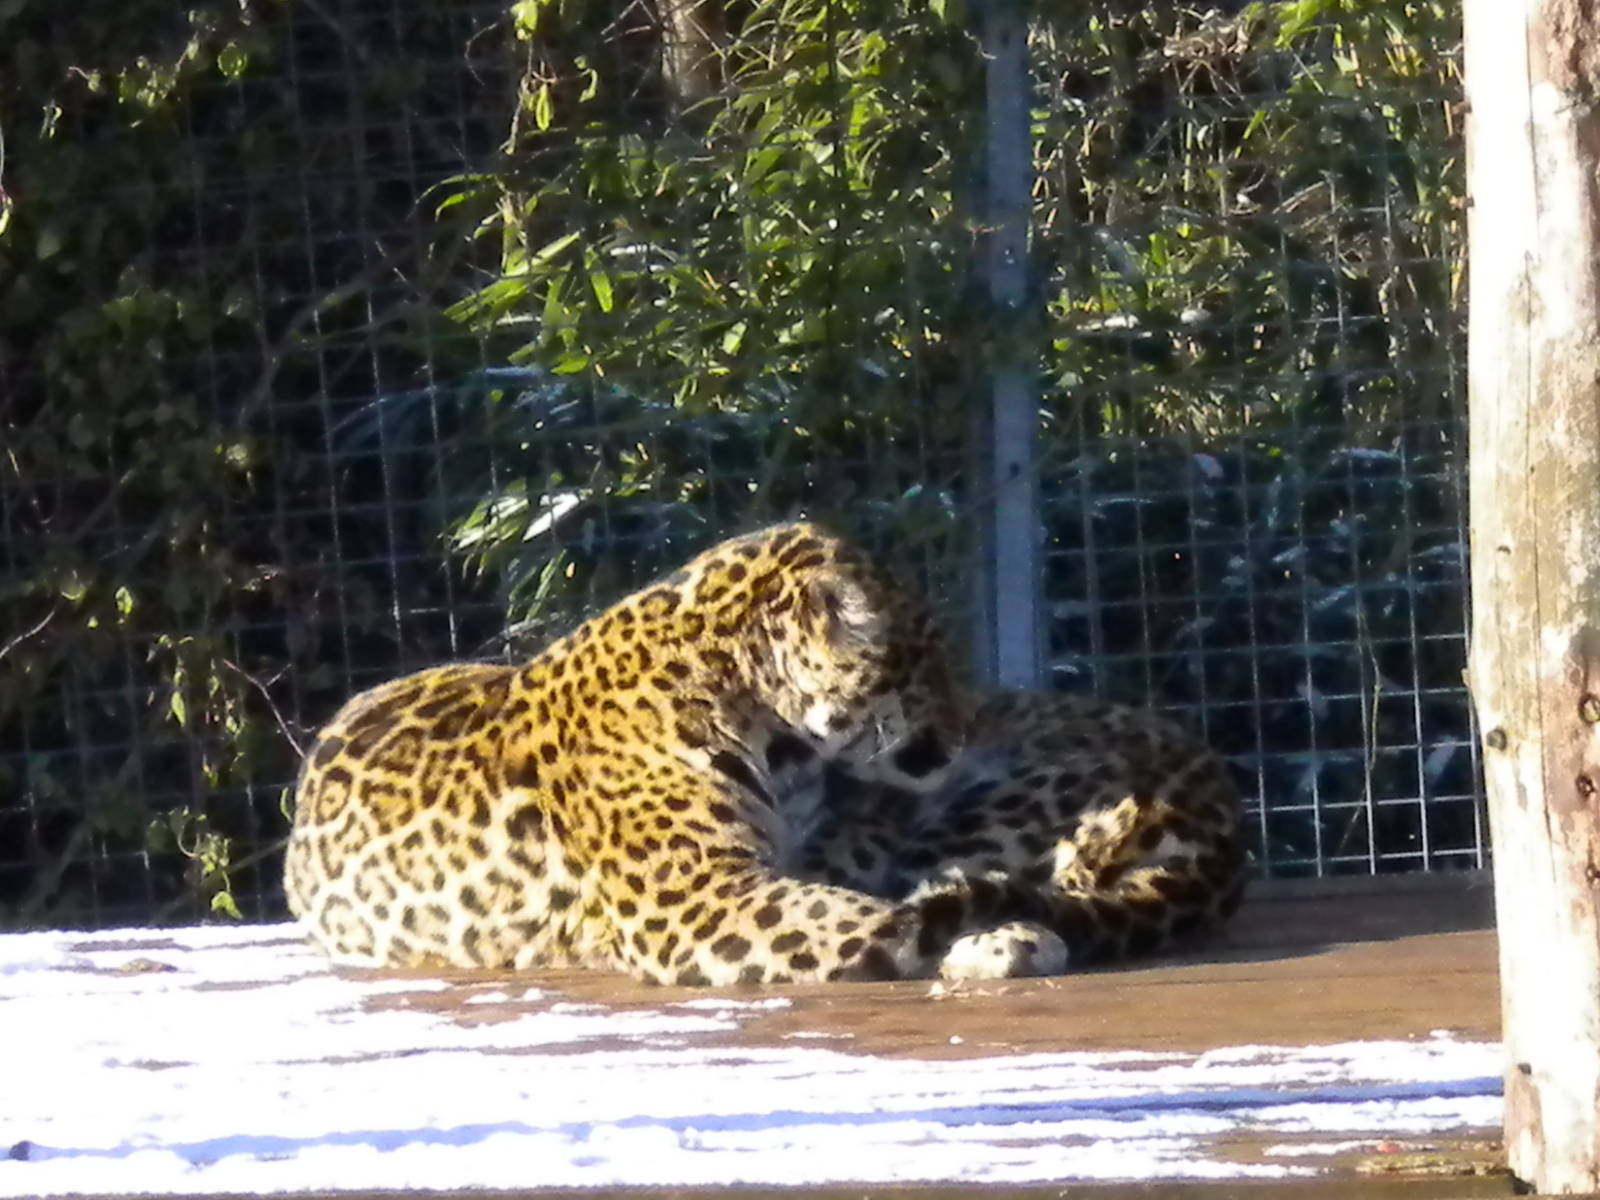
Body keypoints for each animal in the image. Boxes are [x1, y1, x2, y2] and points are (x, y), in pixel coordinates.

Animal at [284, 521, 1071, 986]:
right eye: (928, 663)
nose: (969, 725)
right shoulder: (701, 902)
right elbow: (873, 919)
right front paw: (1007, 938)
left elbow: (877, 899)